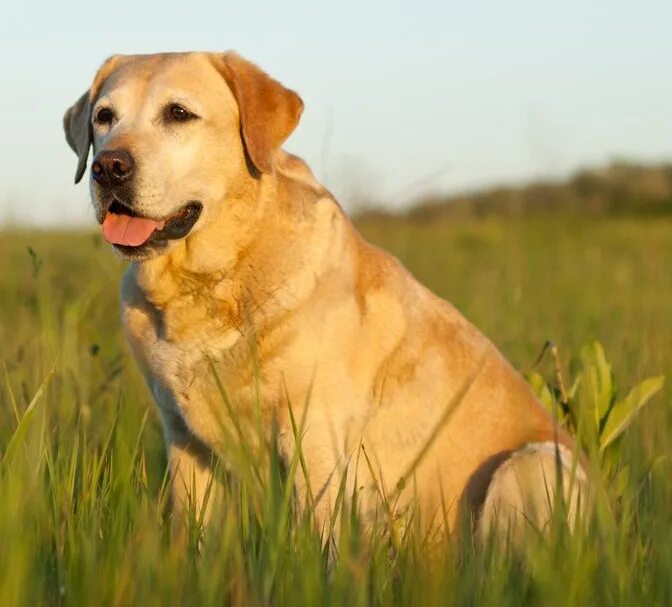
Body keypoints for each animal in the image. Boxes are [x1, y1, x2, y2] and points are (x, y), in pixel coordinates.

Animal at [64, 52, 588, 544]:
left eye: (178, 113)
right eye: (104, 117)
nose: (108, 167)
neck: (212, 280)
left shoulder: (313, 435)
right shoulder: (184, 440)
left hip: (530, 465)